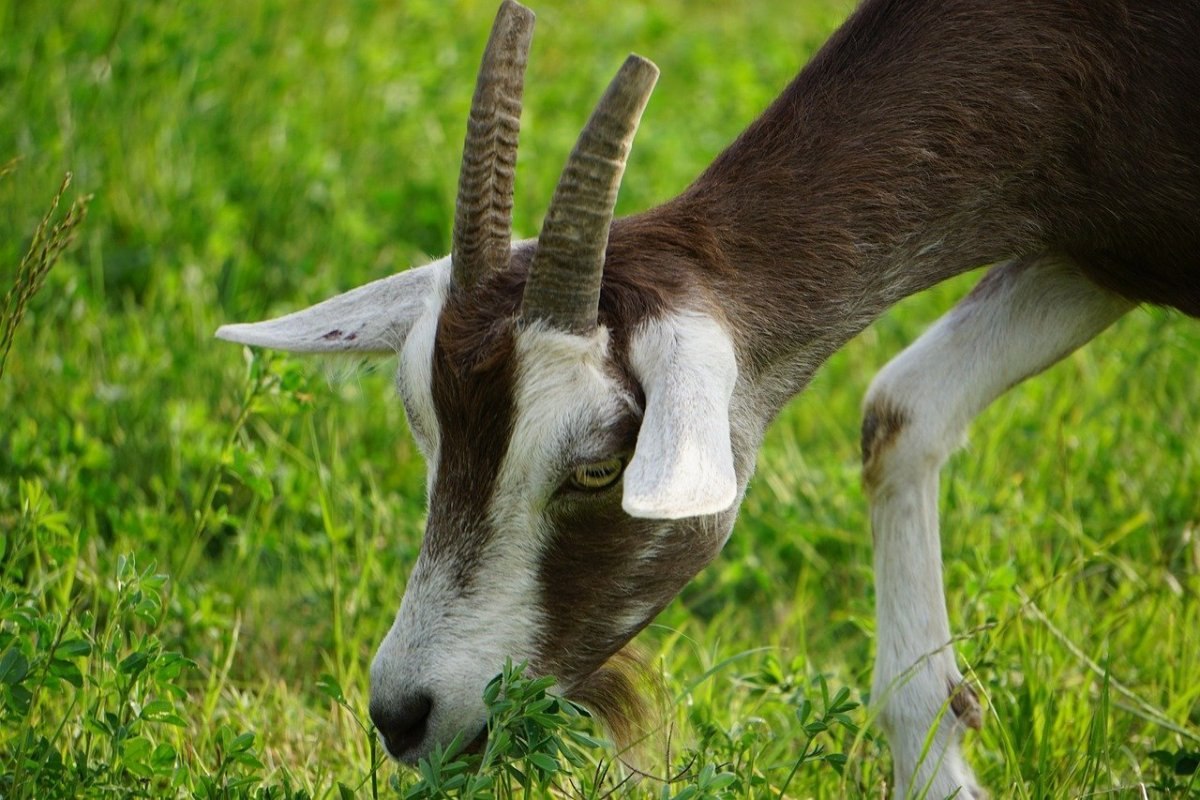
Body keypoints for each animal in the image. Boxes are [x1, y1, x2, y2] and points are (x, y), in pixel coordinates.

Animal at [218, 3, 1200, 796]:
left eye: (597, 468)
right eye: (426, 427)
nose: (404, 713)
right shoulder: (1095, 255)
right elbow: (900, 409)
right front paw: (938, 770)